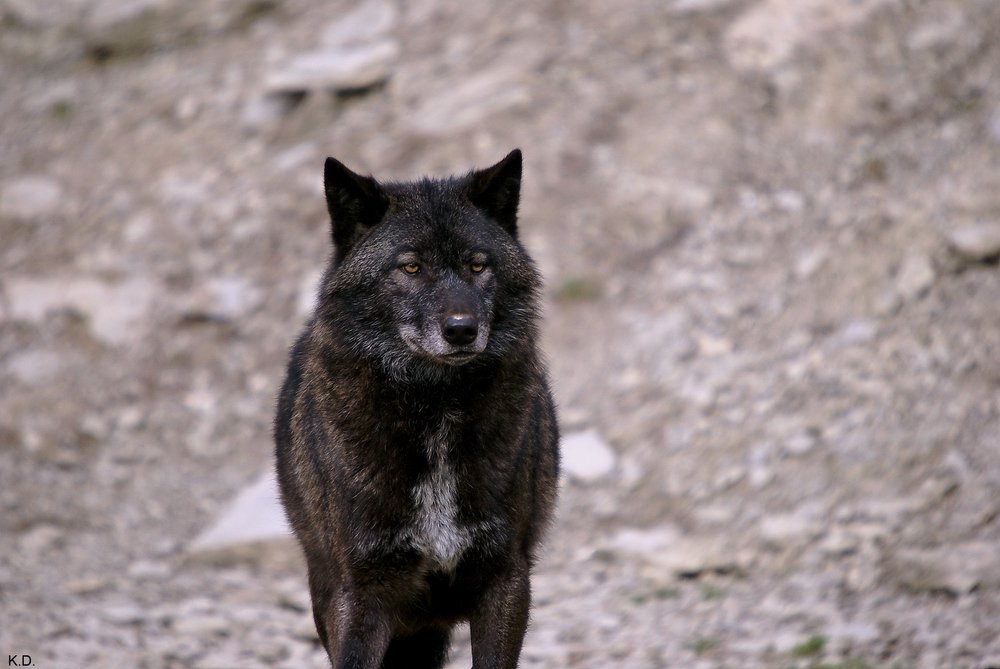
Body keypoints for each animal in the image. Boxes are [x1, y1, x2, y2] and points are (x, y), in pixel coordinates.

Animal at [274, 149, 560, 669]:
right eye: (409, 267)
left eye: (477, 265)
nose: (462, 329)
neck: (436, 410)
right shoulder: (359, 595)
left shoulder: (506, 580)